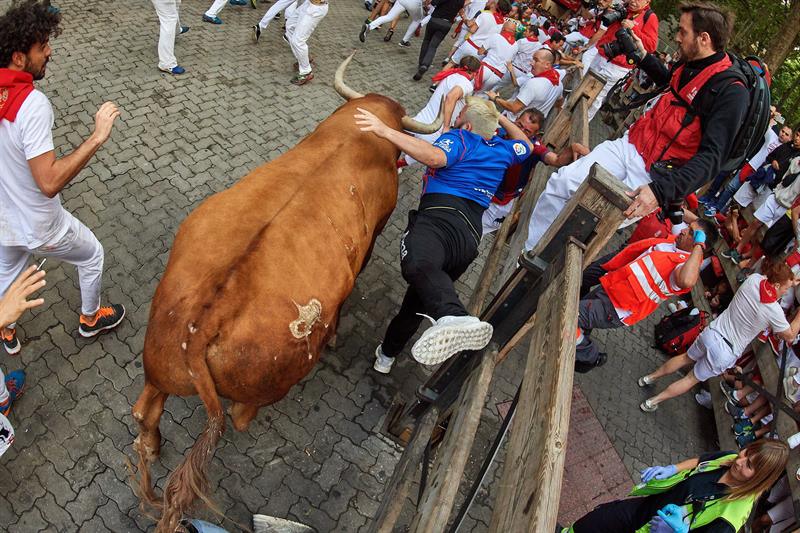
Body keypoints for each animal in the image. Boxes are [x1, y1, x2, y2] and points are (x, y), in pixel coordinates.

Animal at [133, 55, 444, 532]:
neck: (359, 134)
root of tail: (209, 315)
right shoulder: (375, 233)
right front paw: (334, 334)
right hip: (271, 380)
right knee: (240, 417)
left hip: (158, 363)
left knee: (145, 411)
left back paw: (151, 445)